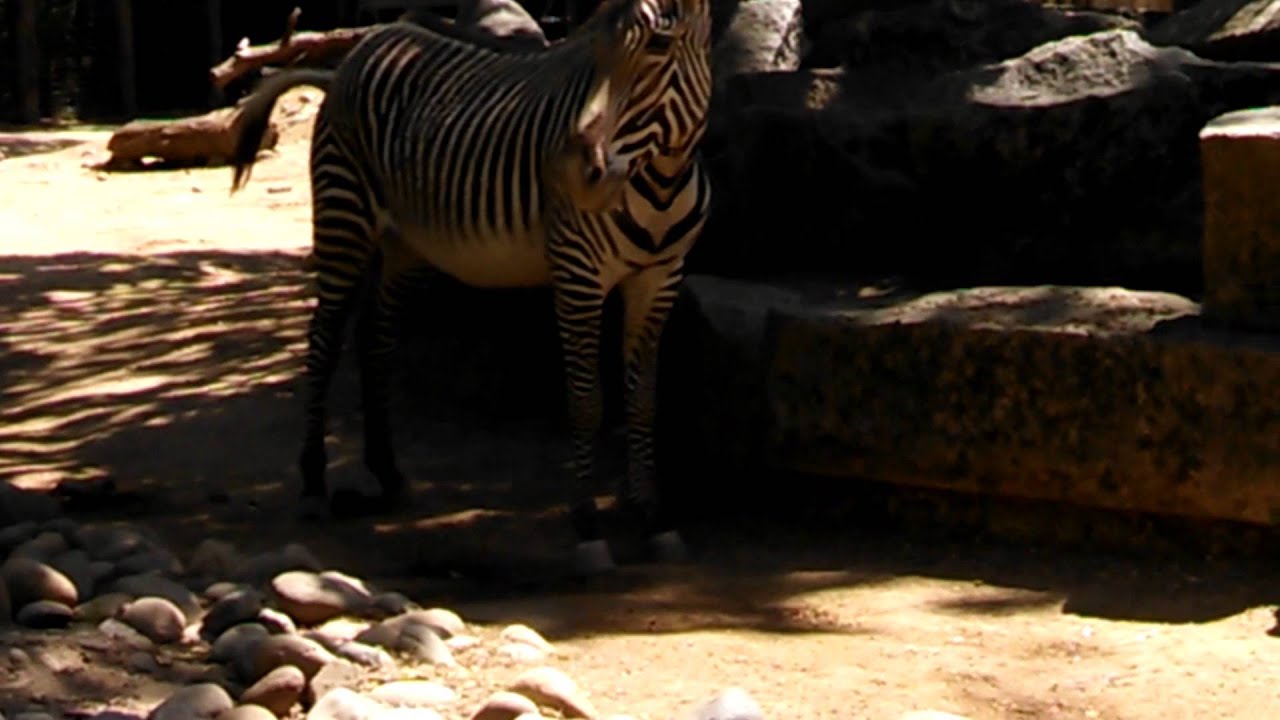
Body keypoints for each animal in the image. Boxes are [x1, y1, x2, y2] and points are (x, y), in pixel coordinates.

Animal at [228, 0, 713, 574]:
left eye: (659, 46)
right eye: (593, 44)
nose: (569, 175)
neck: (659, 183)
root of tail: (354, 54)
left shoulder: (659, 279)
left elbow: (643, 403)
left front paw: (654, 519)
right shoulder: (578, 276)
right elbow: (587, 401)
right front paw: (589, 528)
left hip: (403, 244)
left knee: (374, 338)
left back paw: (386, 473)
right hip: (345, 214)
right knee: (323, 341)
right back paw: (312, 485)